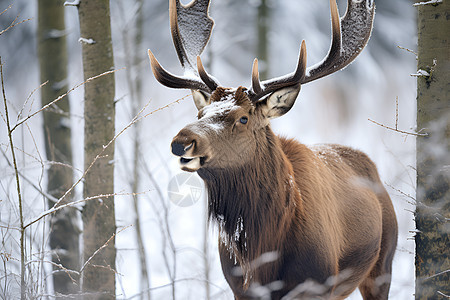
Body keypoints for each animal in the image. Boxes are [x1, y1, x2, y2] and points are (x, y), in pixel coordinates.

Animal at [148, 0, 398, 298]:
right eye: (201, 113)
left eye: (243, 118)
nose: (181, 141)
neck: (264, 248)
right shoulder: (239, 287)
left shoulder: (318, 284)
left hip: (384, 260)